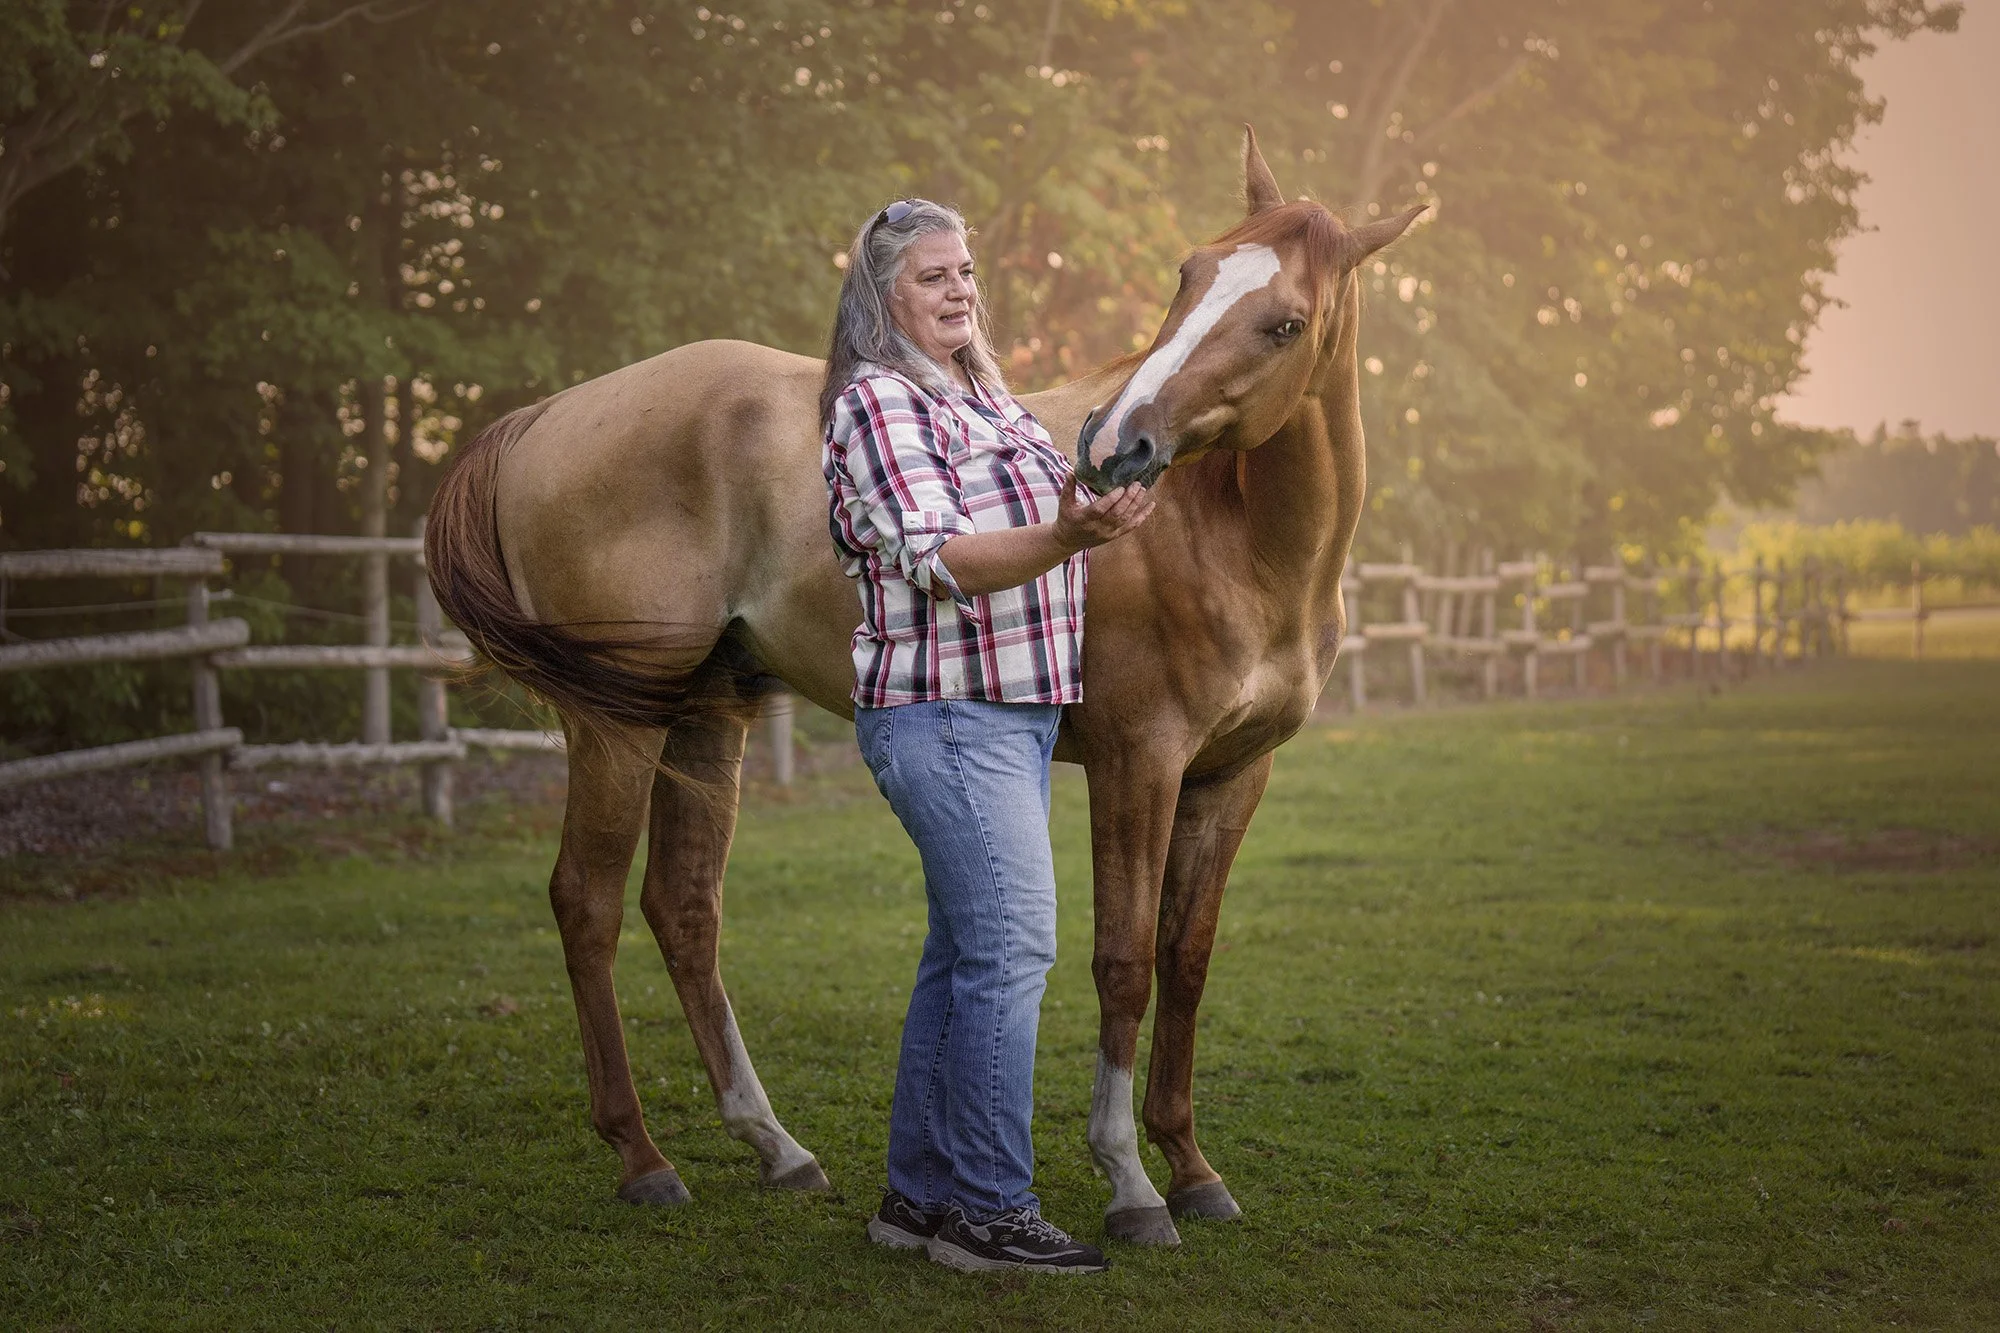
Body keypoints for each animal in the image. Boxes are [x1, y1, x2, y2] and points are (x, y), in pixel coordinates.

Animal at [425, 127, 1421, 1248]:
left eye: (1283, 321)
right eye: (1187, 274)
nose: (1113, 444)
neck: (1229, 538)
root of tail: (547, 417)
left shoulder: (1229, 775)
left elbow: (1188, 956)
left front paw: (1192, 1167)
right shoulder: (1138, 764)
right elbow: (1124, 961)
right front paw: (1129, 1182)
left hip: (701, 716)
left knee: (681, 907)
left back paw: (775, 1147)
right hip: (612, 723)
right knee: (586, 903)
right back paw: (642, 1157)